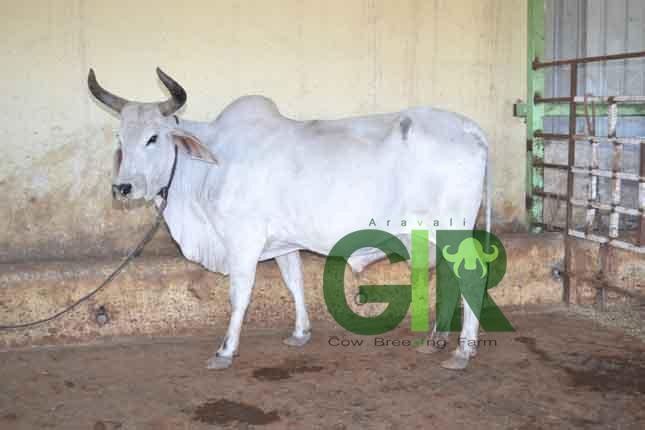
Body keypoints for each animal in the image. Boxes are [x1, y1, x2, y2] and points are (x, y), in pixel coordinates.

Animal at [88, 67, 491, 371]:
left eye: (154, 137)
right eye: (121, 137)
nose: (122, 188)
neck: (209, 165)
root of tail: (468, 128)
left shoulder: (243, 240)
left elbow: (239, 295)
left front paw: (225, 350)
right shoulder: (283, 241)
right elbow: (294, 281)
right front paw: (300, 333)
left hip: (453, 230)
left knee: (471, 276)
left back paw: (462, 350)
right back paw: (437, 339)